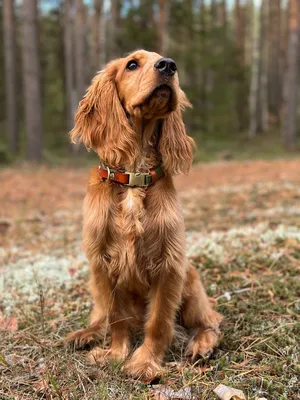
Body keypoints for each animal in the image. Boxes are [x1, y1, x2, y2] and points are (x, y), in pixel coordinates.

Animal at [67, 49, 223, 378]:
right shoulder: (102, 263)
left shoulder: (169, 264)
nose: (169, 66)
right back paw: (85, 334)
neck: (134, 176)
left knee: (211, 320)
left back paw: (201, 344)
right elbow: (116, 317)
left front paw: (143, 362)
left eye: (165, 60)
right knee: (100, 316)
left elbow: (159, 321)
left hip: (190, 280)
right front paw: (115, 354)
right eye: (132, 64)